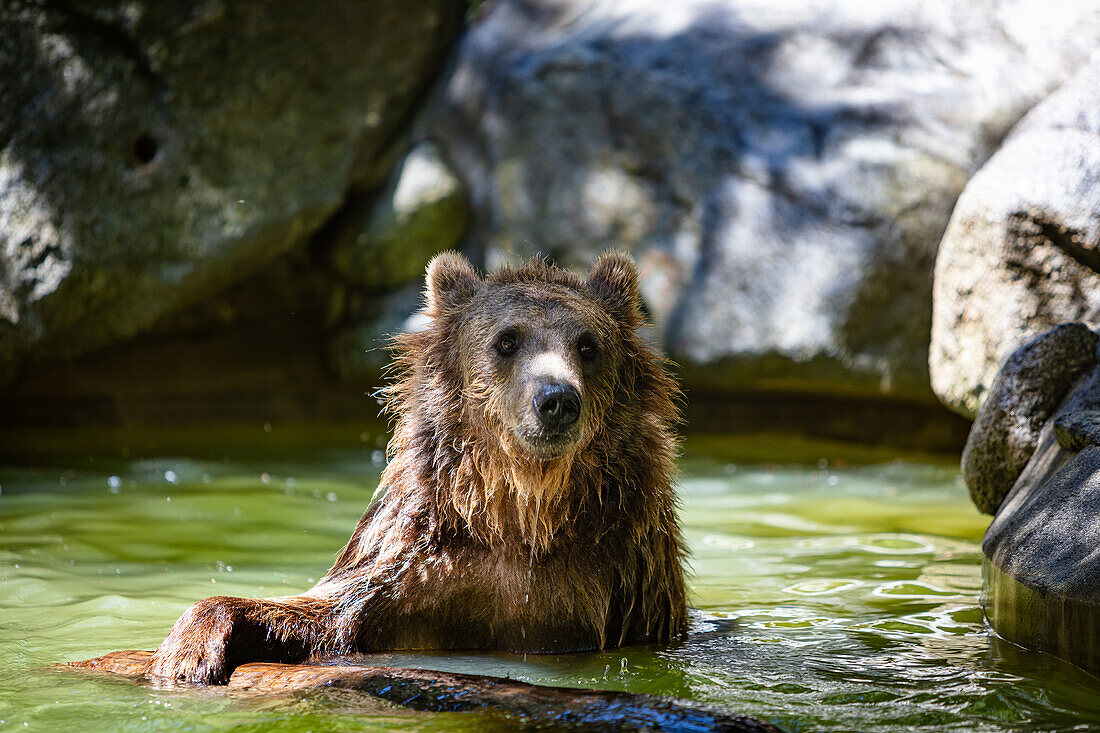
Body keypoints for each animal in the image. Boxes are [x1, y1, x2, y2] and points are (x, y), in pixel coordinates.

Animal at [147, 249, 686, 677]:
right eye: (507, 340)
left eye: (588, 345)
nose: (556, 399)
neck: (524, 514)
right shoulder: (414, 571)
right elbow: (320, 613)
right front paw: (187, 653)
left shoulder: (623, 579)